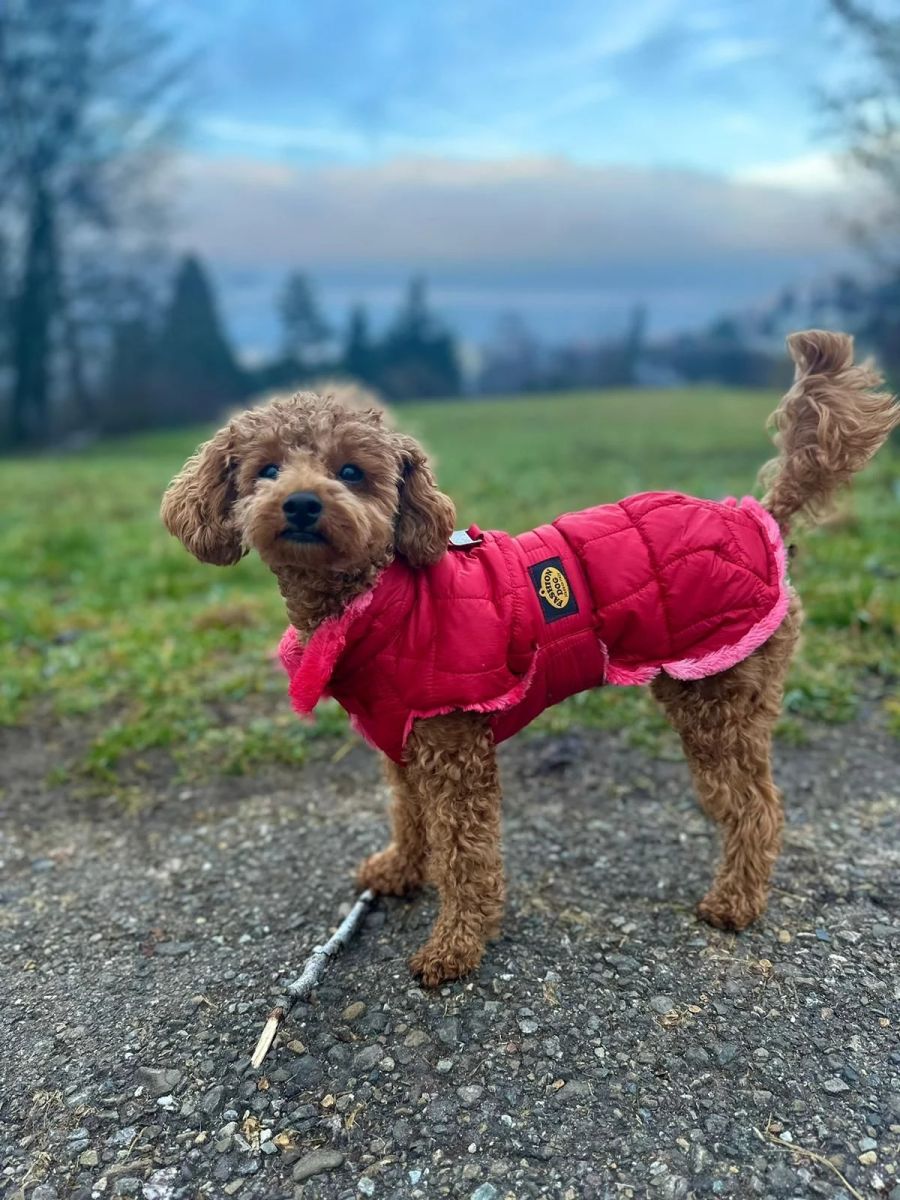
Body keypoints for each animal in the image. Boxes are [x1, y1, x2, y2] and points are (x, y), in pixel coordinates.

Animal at [164, 333, 900, 988]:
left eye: (351, 472)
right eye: (266, 469)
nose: (301, 503)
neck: (379, 599)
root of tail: (760, 515)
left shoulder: (454, 745)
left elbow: (466, 856)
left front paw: (454, 948)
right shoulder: (402, 739)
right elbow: (409, 814)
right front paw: (400, 870)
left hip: (715, 692)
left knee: (756, 807)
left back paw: (736, 903)